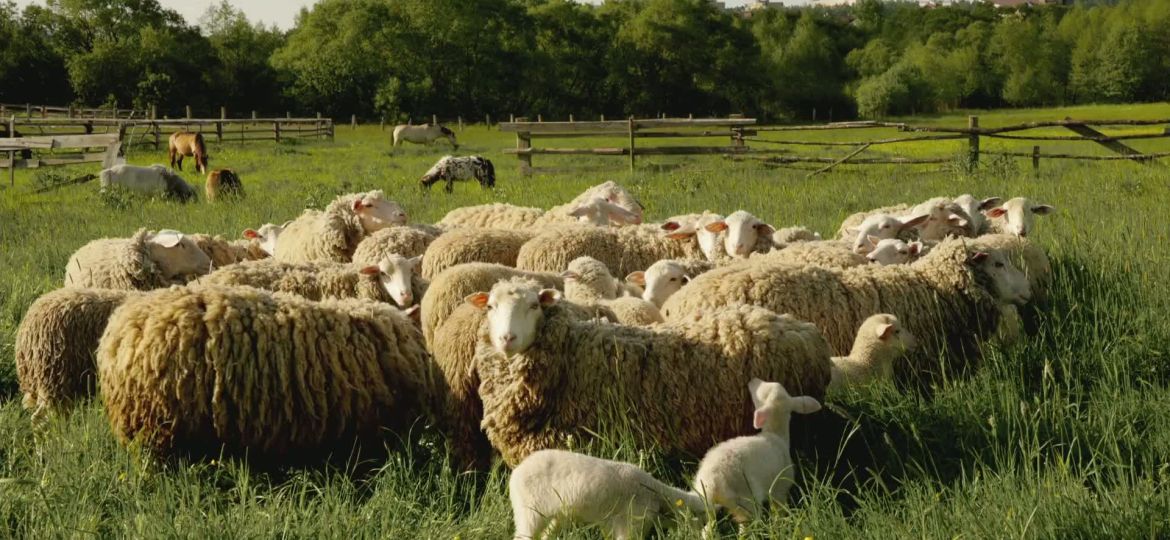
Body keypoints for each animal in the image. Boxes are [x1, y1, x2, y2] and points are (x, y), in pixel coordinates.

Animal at [692, 379, 821, 529]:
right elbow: (778, 512)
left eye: (762, 393)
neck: (776, 433)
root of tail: (712, 483)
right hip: (746, 502)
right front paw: (779, 525)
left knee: (707, 528)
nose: (752, 380)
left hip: (708, 507)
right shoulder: (780, 488)